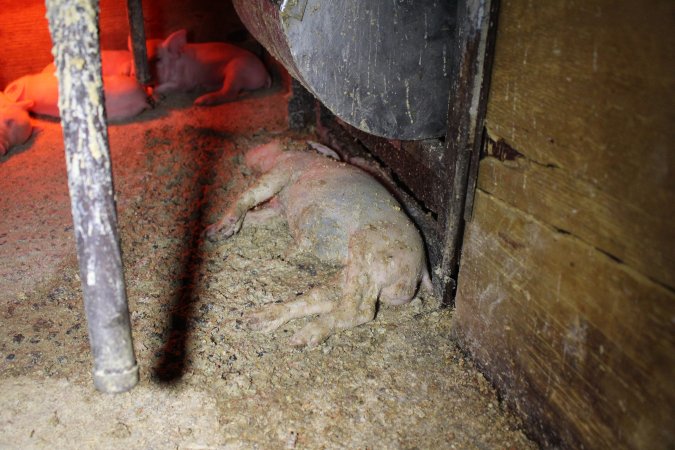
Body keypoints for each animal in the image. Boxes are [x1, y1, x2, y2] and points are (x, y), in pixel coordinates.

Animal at [203, 141, 434, 348]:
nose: (249, 151)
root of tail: (422, 269)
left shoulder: (284, 169)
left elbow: (252, 194)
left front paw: (218, 231)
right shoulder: (278, 210)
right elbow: (256, 216)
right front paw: (213, 232)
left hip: (370, 250)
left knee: (361, 311)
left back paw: (304, 337)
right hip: (355, 273)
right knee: (324, 298)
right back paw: (257, 321)